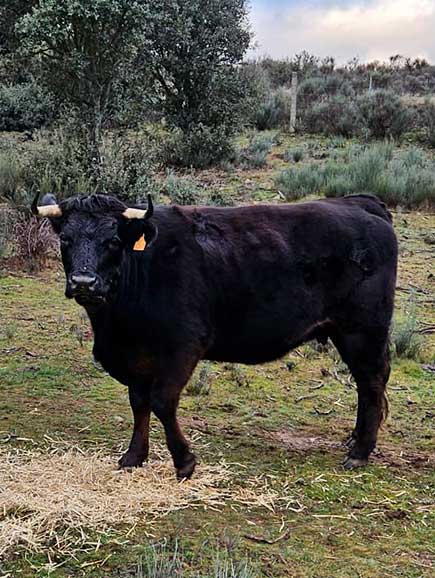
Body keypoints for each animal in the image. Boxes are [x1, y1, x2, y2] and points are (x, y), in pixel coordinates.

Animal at [32, 194, 396, 476]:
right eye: (65, 240)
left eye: (113, 241)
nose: (83, 282)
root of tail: (360, 203)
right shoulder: (135, 357)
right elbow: (139, 403)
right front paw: (134, 457)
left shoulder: (184, 346)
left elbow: (162, 401)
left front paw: (184, 461)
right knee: (365, 385)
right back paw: (354, 440)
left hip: (362, 331)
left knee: (372, 383)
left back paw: (360, 452)